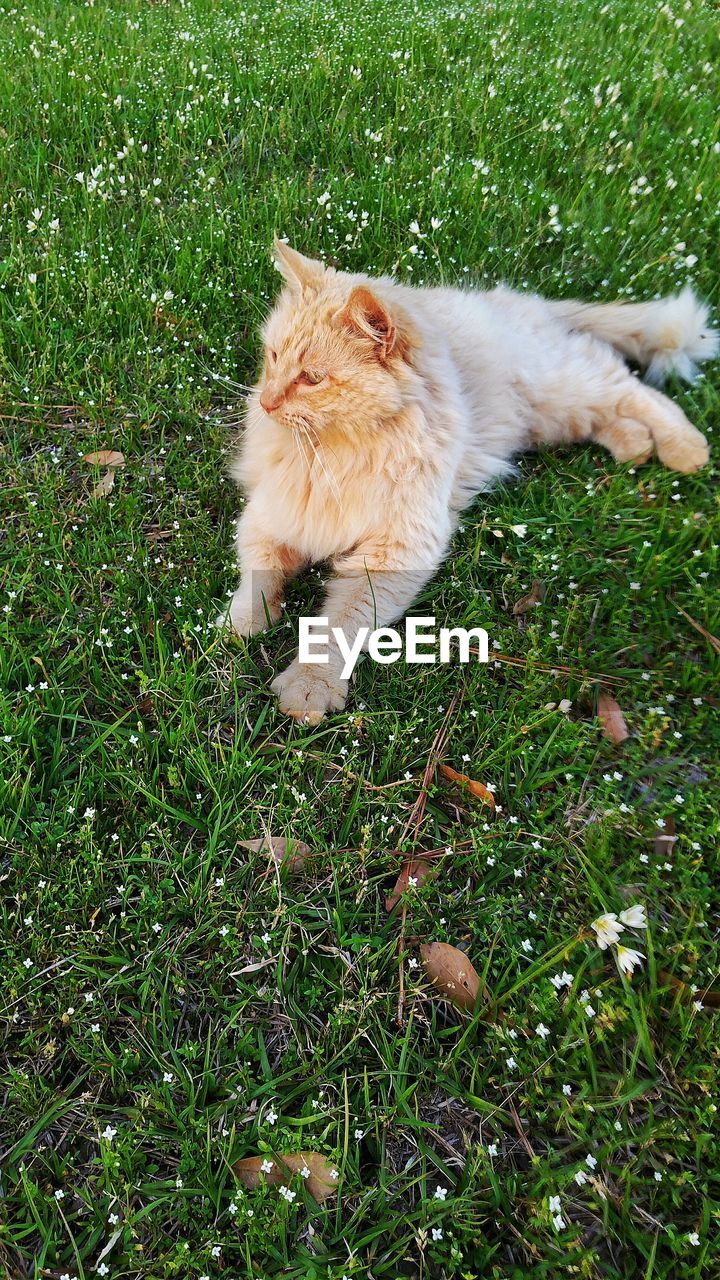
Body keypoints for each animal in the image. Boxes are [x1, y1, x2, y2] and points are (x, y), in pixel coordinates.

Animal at [221, 235, 712, 727]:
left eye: (313, 378)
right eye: (273, 357)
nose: (265, 402)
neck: (335, 456)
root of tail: (518, 302)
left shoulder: (394, 553)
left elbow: (337, 626)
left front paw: (309, 686)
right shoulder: (270, 517)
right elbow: (258, 579)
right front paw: (242, 624)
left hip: (563, 389)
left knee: (635, 390)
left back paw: (685, 448)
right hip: (553, 418)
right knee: (611, 411)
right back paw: (636, 446)